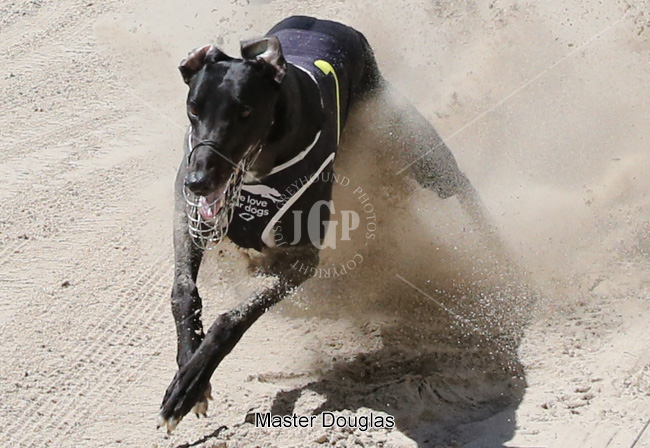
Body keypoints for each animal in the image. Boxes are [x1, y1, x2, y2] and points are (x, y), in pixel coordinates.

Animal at [158, 15, 494, 432]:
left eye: (245, 111)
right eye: (193, 109)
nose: (198, 181)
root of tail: (328, 23)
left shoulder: (303, 258)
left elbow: (232, 319)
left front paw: (189, 383)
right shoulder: (190, 222)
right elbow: (184, 293)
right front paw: (190, 370)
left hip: (405, 139)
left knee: (461, 187)